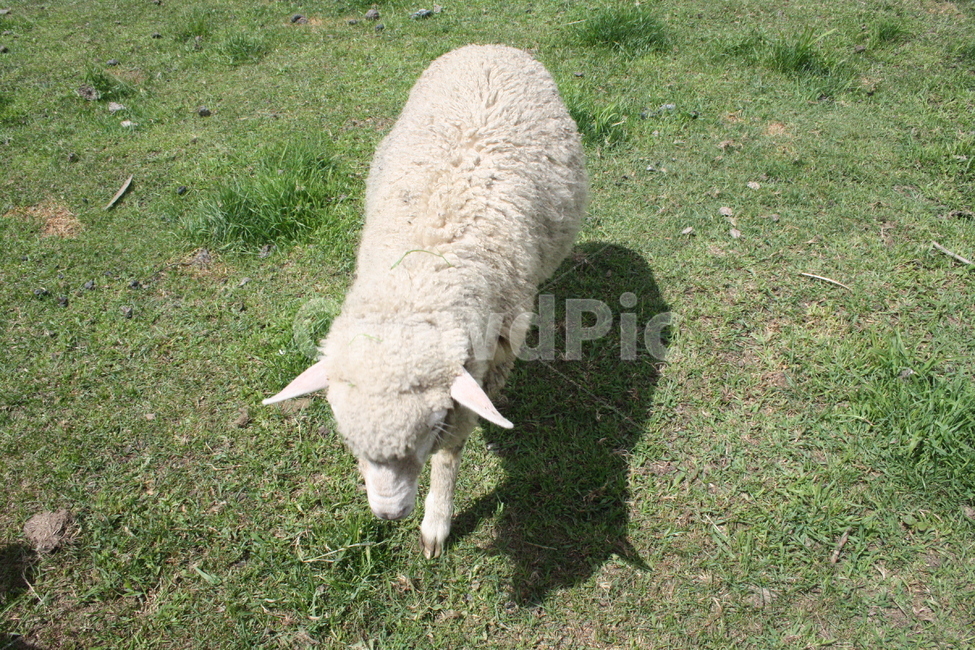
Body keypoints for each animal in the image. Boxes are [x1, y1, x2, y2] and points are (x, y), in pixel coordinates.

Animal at [264, 44, 588, 558]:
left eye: (430, 426)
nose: (388, 514)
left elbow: (450, 456)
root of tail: (490, 46)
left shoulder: (482, 363)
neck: (417, 281)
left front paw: (437, 519)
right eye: (348, 440)